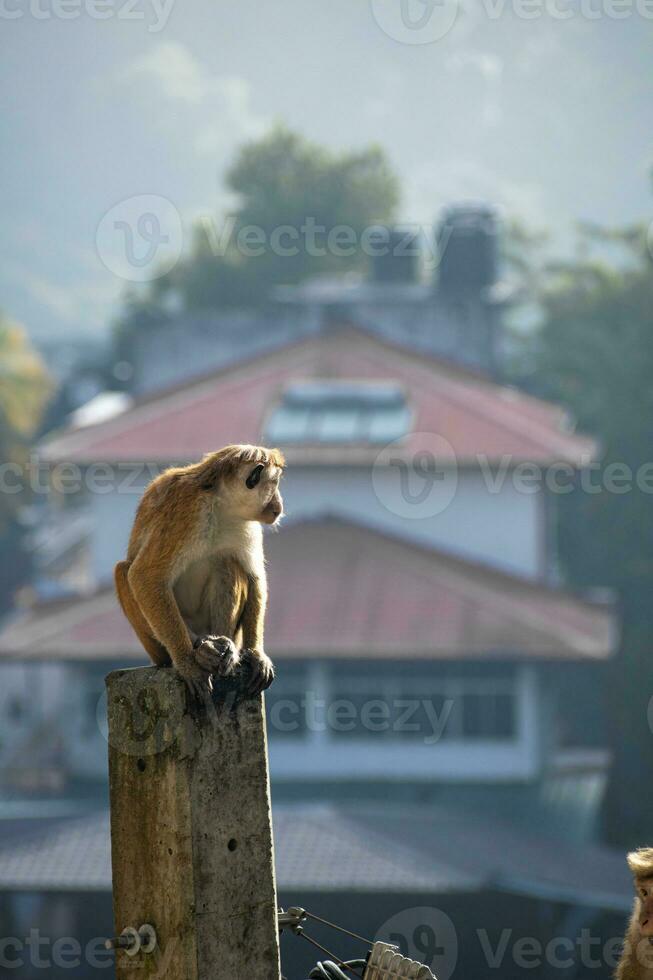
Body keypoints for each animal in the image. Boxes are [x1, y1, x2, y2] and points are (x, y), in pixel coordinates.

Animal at [112, 444, 286, 696]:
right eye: (274, 484)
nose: (279, 505)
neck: (222, 503)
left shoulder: (246, 525)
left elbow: (255, 578)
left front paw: (256, 654)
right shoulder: (188, 511)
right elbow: (144, 576)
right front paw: (188, 661)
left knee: (227, 563)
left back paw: (225, 646)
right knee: (123, 570)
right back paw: (200, 649)